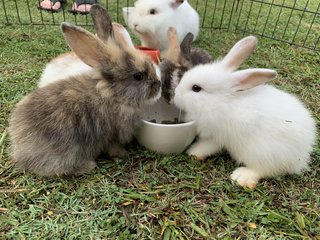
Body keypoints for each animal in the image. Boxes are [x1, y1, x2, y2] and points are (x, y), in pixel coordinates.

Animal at [175, 35, 318, 189]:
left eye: (196, 88)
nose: (175, 95)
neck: (220, 101)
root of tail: (301, 156)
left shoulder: (216, 135)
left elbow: (207, 146)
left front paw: (193, 152)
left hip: (262, 153)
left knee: (264, 170)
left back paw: (241, 177)